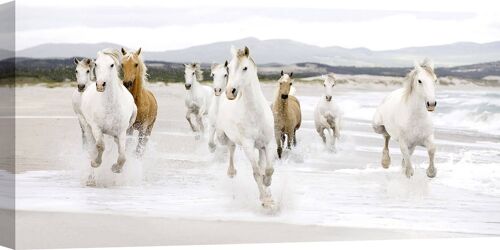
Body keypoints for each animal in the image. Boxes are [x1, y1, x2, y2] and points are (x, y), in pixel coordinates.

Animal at [216, 47, 278, 209]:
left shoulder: (269, 143)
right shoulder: (248, 145)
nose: (230, 91)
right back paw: (231, 172)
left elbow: (268, 169)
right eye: (229, 68)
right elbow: (256, 173)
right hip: (223, 136)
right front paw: (265, 200)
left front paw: (268, 186)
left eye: (245, 68)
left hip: (261, 147)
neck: (255, 113)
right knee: (231, 147)